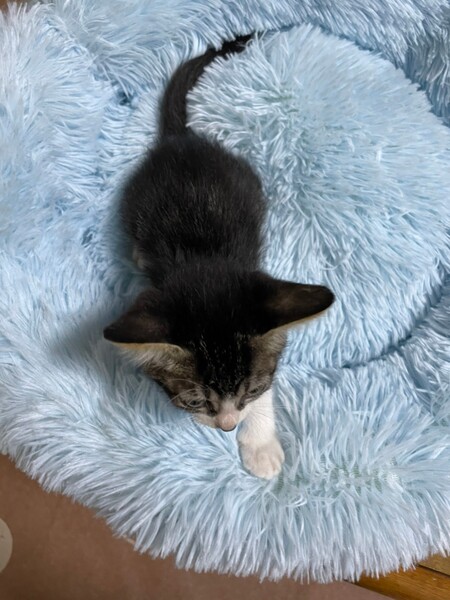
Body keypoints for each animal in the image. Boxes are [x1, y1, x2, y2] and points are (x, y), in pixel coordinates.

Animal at [104, 36, 334, 479]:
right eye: (195, 401)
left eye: (252, 389)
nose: (227, 426)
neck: (204, 261)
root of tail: (181, 139)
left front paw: (260, 444)